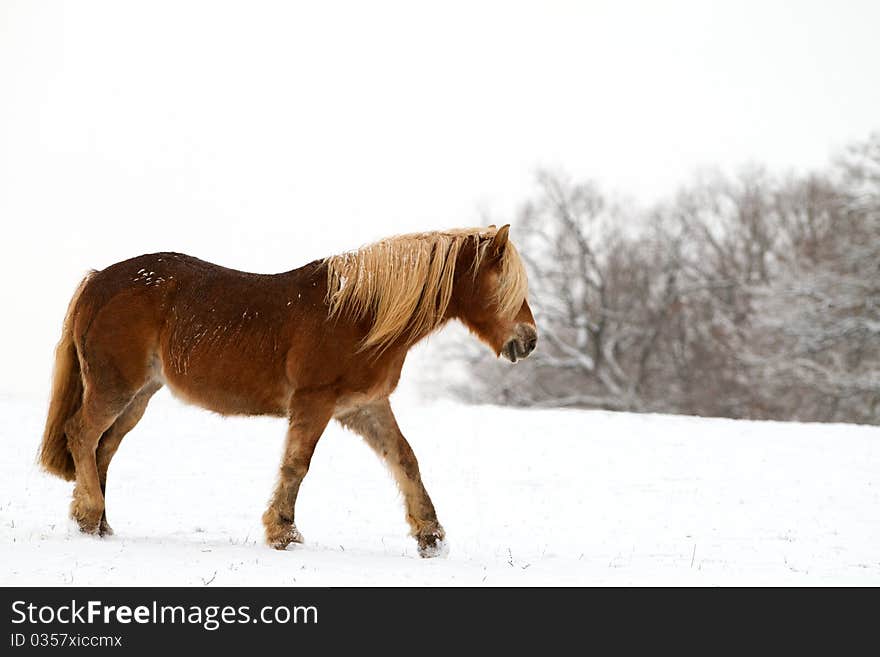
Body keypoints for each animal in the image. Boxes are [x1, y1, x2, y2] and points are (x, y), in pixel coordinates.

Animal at [37, 223, 536, 556]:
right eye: (504, 284)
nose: (529, 341)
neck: (361, 314)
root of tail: (98, 281)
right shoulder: (315, 402)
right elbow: (297, 465)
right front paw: (283, 531)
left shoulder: (365, 407)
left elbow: (405, 461)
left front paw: (430, 536)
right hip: (114, 388)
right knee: (82, 435)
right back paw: (89, 514)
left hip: (139, 396)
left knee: (102, 448)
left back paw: (98, 524)